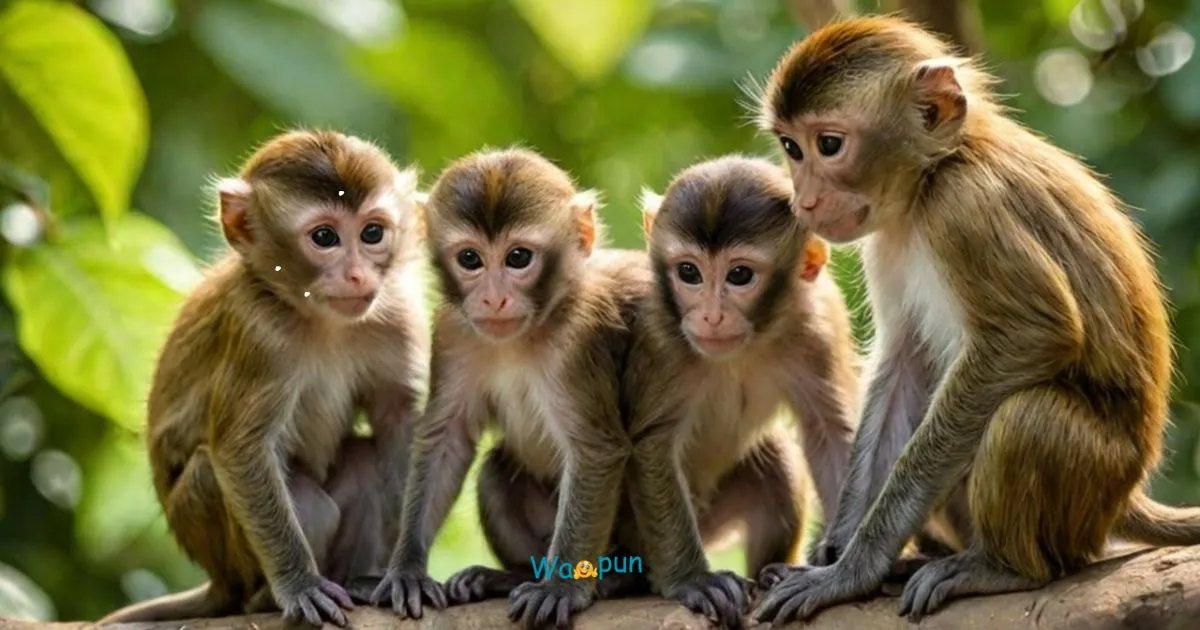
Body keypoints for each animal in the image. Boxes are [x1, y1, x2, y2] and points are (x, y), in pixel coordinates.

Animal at [96, 130, 429, 627]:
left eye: (372, 233)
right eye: (324, 237)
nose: (356, 275)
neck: (323, 320)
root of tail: (219, 580)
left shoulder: (397, 315)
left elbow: (401, 424)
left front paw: (403, 570)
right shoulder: (260, 332)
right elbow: (239, 448)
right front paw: (299, 584)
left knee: (364, 464)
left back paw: (356, 580)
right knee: (259, 488)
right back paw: (265, 597)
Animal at [357, 148, 653, 630]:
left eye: (518, 258)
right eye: (470, 259)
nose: (494, 298)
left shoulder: (578, 337)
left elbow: (595, 448)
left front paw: (560, 588)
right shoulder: (454, 331)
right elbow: (446, 439)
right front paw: (406, 569)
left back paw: (618, 578)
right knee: (496, 471)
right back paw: (504, 577)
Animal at [621, 155, 859, 630]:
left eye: (740, 275)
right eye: (689, 272)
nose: (711, 316)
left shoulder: (818, 322)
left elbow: (829, 433)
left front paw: (834, 568)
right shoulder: (658, 329)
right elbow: (654, 442)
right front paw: (694, 580)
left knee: (777, 462)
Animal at [747, 15, 1196, 624]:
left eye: (830, 145)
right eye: (792, 147)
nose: (806, 201)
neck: (933, 174)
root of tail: (1126, 495)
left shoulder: (965, 210)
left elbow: (1035, 334)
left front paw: (852, 569)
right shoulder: (885, 242)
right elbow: (903, 367)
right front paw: (838, 549)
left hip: (1094, 481)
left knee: (1026, 416)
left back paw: (1003, 568)